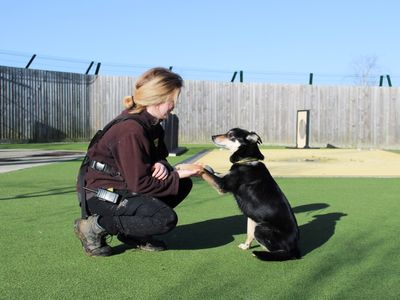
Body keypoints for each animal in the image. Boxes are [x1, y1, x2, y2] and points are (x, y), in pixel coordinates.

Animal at [188, 127, 300, 262]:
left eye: (230, 135)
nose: (212, 136)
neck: (247, 161)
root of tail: (295, 249)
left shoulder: (222, 185)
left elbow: (204, 172)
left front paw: (188, 167)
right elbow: (212, 171)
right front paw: (246, 246)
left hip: (261, 228)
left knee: (279, 252)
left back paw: (262, 253)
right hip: (255, 221)